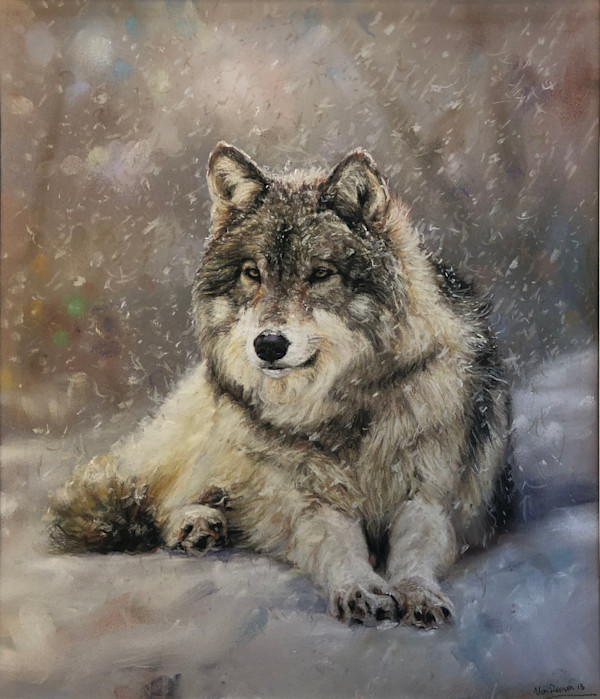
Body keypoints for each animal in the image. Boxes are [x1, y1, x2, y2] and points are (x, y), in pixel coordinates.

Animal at [49, 142, 512, 628]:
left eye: (320, 274)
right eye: (253, 273)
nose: (268, 344)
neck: (344, 412)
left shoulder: (430, 496)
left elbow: (416, 551)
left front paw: (417, 594)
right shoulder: (309, 500)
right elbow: (338, 546)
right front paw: (361, 588)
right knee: (162, 497)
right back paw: (195, 524)